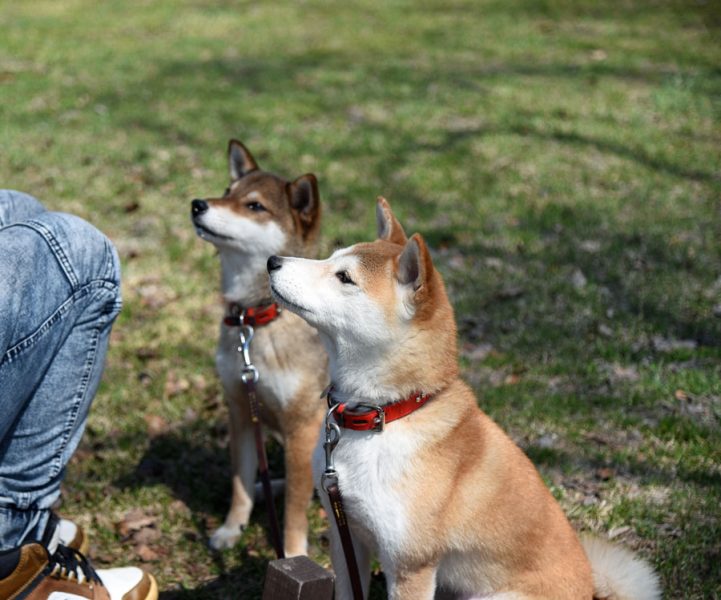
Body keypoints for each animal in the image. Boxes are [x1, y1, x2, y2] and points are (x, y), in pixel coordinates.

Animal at [191, 142, 326, 556]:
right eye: (227, 192)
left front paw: (294, 552)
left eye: (254, 206)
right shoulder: (239, 411)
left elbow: (295, 508)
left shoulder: (302, 427)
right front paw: (231, 528)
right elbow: (241, 483)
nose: (197, 204)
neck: (258, 318)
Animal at [264, 198, 660, 600]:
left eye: (344, 277)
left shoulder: (411, 565)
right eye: (331, 256)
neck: (385, 416)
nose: (272, 261)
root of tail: (589, 589)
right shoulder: (347, 538)